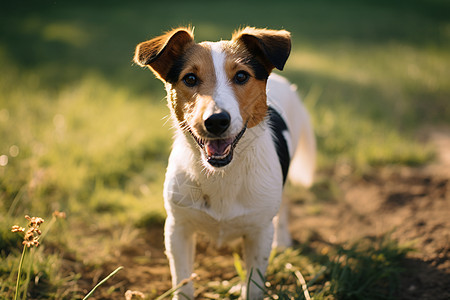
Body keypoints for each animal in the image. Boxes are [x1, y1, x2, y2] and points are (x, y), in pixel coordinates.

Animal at [135, 27, 314, 298]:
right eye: (190, 79)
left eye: (241, 76)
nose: (216, 121)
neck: (223, 174)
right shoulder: (178, 228)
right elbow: (183, 282)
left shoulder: (259, 232)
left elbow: (254, 285)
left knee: (283, 208)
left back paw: (282, 241)